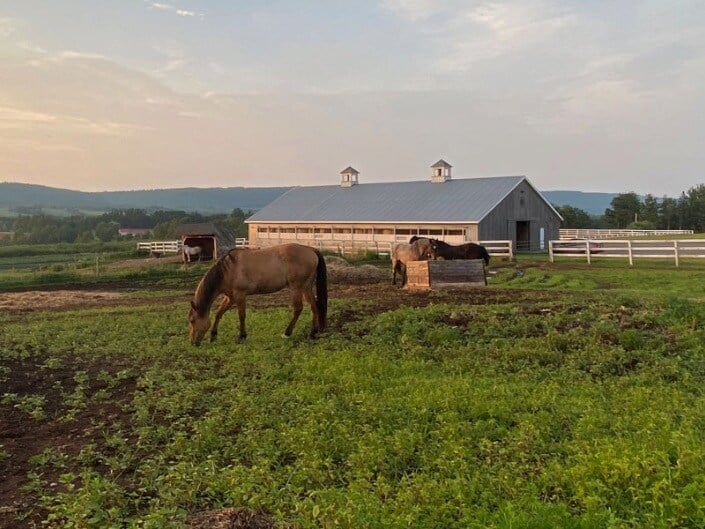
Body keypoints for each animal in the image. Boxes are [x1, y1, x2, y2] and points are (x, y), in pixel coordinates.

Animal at [188, 241, 328, 344]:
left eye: (192, 320)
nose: (193, 342)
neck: (227, 270)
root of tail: (311, 250)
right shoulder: (230, 297)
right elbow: (219, 313)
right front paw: (213, 335)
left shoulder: (239, 295)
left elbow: (241, 315)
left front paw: (242, 336)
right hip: (306, 287)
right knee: (314, 306)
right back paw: (312, 333)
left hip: (296, 287)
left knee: (298, 308)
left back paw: (287, 333)